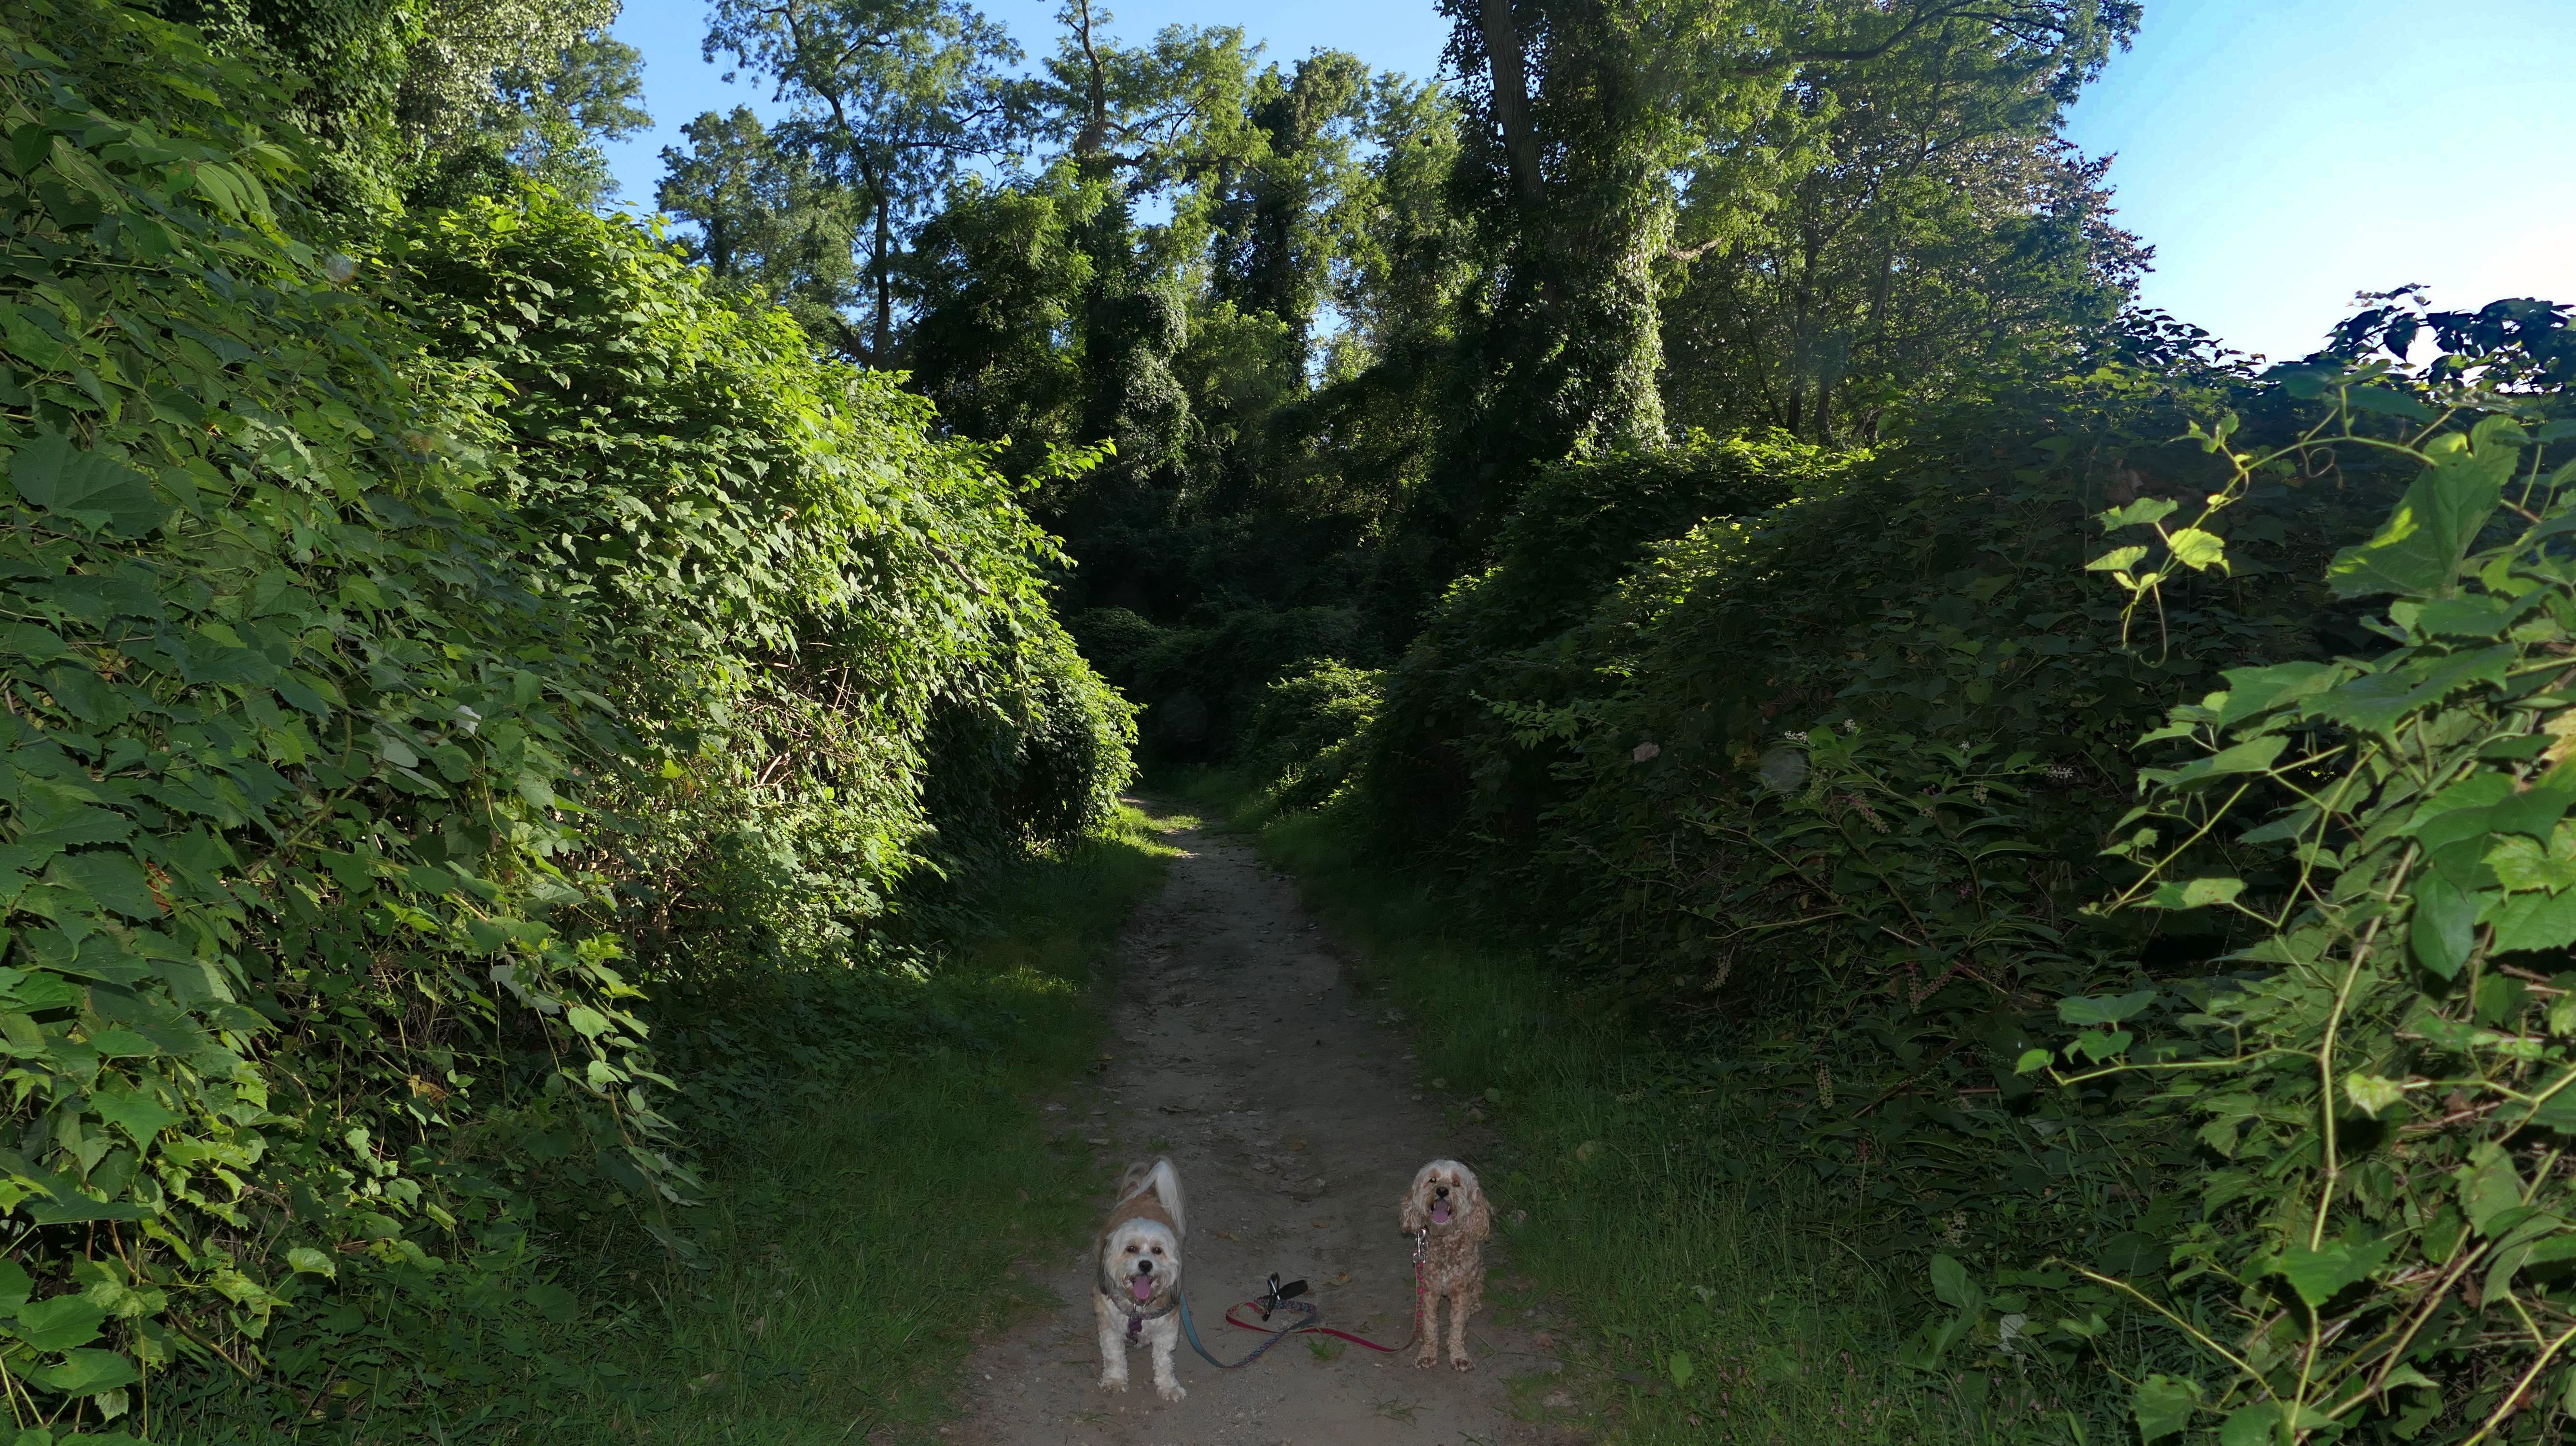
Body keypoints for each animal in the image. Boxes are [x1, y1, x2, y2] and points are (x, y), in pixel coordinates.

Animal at [1094, 1158, 1188, 1401]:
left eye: (1157, 1251)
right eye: (1131, 1249)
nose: (1145, 1265)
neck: (1138, 1306)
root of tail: (1142, 1192)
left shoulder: (1168, 1329)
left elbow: (1164, 1361)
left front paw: (1168, 1386)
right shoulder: (1109, 1326)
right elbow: (1114, 1356)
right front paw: (1115, 1381)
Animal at [1399, 1158, 1491, 1370]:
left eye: (1456, 1183)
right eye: (1432, 1180)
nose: (1442, 1191)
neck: (1445, 1241)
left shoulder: (1461, 1291)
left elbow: (1457, 1326)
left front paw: (1459, 1356)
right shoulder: (1429, 1290)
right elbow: (1429, 1326)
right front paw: (1427, 1354)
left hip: (1478, 1271)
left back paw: (1475, 1304)